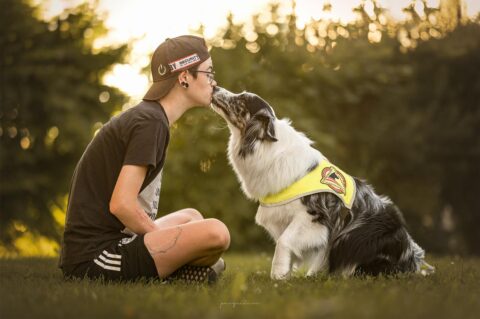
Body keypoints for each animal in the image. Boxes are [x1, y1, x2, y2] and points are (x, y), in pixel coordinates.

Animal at [210, 85, 436, 280]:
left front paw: (277, 276)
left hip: (359, 236)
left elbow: (284, 242)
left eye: (242, 99)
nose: (214, 87)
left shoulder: (314, 217)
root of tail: (413, 260)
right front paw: (286, 276)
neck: (264, 145)